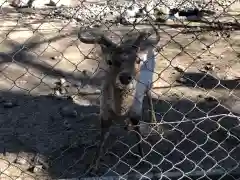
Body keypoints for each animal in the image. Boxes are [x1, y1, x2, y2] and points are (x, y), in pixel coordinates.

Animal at [78, 23, 160, 172]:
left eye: (137, 60)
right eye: (110, 61)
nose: (125, 78)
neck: (120, 110)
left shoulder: (136, 108)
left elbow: (138, 131)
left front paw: (143, 158)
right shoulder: (103, 109)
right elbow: (102, 136)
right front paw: (93, 166)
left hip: (149, 80)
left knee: (150, 96)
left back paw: (154, 123)